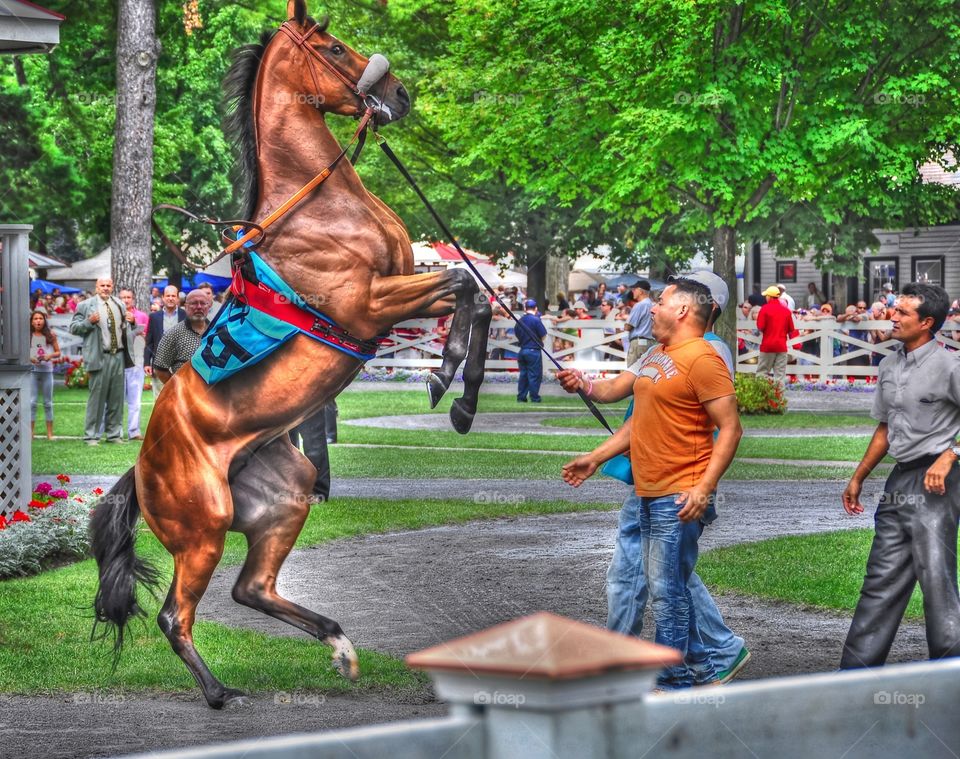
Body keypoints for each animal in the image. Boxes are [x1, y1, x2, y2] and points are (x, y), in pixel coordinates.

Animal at [90, 1, 492, 712]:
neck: (317, 207)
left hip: (285, 497)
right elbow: (465, 285)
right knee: (176, 614)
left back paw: (339, 645)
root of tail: (140, 469)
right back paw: (218, 691)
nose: (398, 95)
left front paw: (460, 392)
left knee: (250, 588)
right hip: (205, 528)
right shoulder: (368, 304)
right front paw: (448, 382)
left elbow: (473, 297)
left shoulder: (398, 291)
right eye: (332, 47)